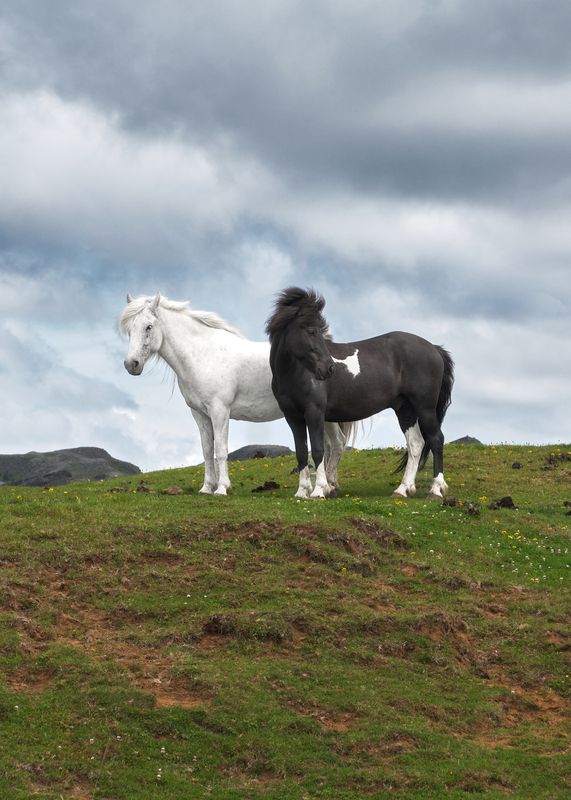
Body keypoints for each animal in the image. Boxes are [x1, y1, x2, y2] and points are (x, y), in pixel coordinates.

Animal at [119, 293, 352, 495]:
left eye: (149, 326)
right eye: (130, 329)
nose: (132, 364)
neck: (203, 355)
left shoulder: (219, 410)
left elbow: (221, 450)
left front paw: (222, 488)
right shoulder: (200, 414)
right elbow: (207, 451)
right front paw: (206, 488)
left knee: (334, 444)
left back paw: (326, 487)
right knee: (335, 444)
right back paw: (329, 486)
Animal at [266, 287, 454, 500]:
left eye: (320, 331)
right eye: (311, 330)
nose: (329, 368)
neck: (296, 373)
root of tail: (435, 349)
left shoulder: (314, 413)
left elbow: (317, 450)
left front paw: (319, 490)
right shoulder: (293, 417)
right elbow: (301, 452)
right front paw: (301, 492)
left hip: (425, 407)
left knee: (436, 440)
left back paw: (436, 490)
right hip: (405, 409)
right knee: (415, 443)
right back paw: (403, 489)